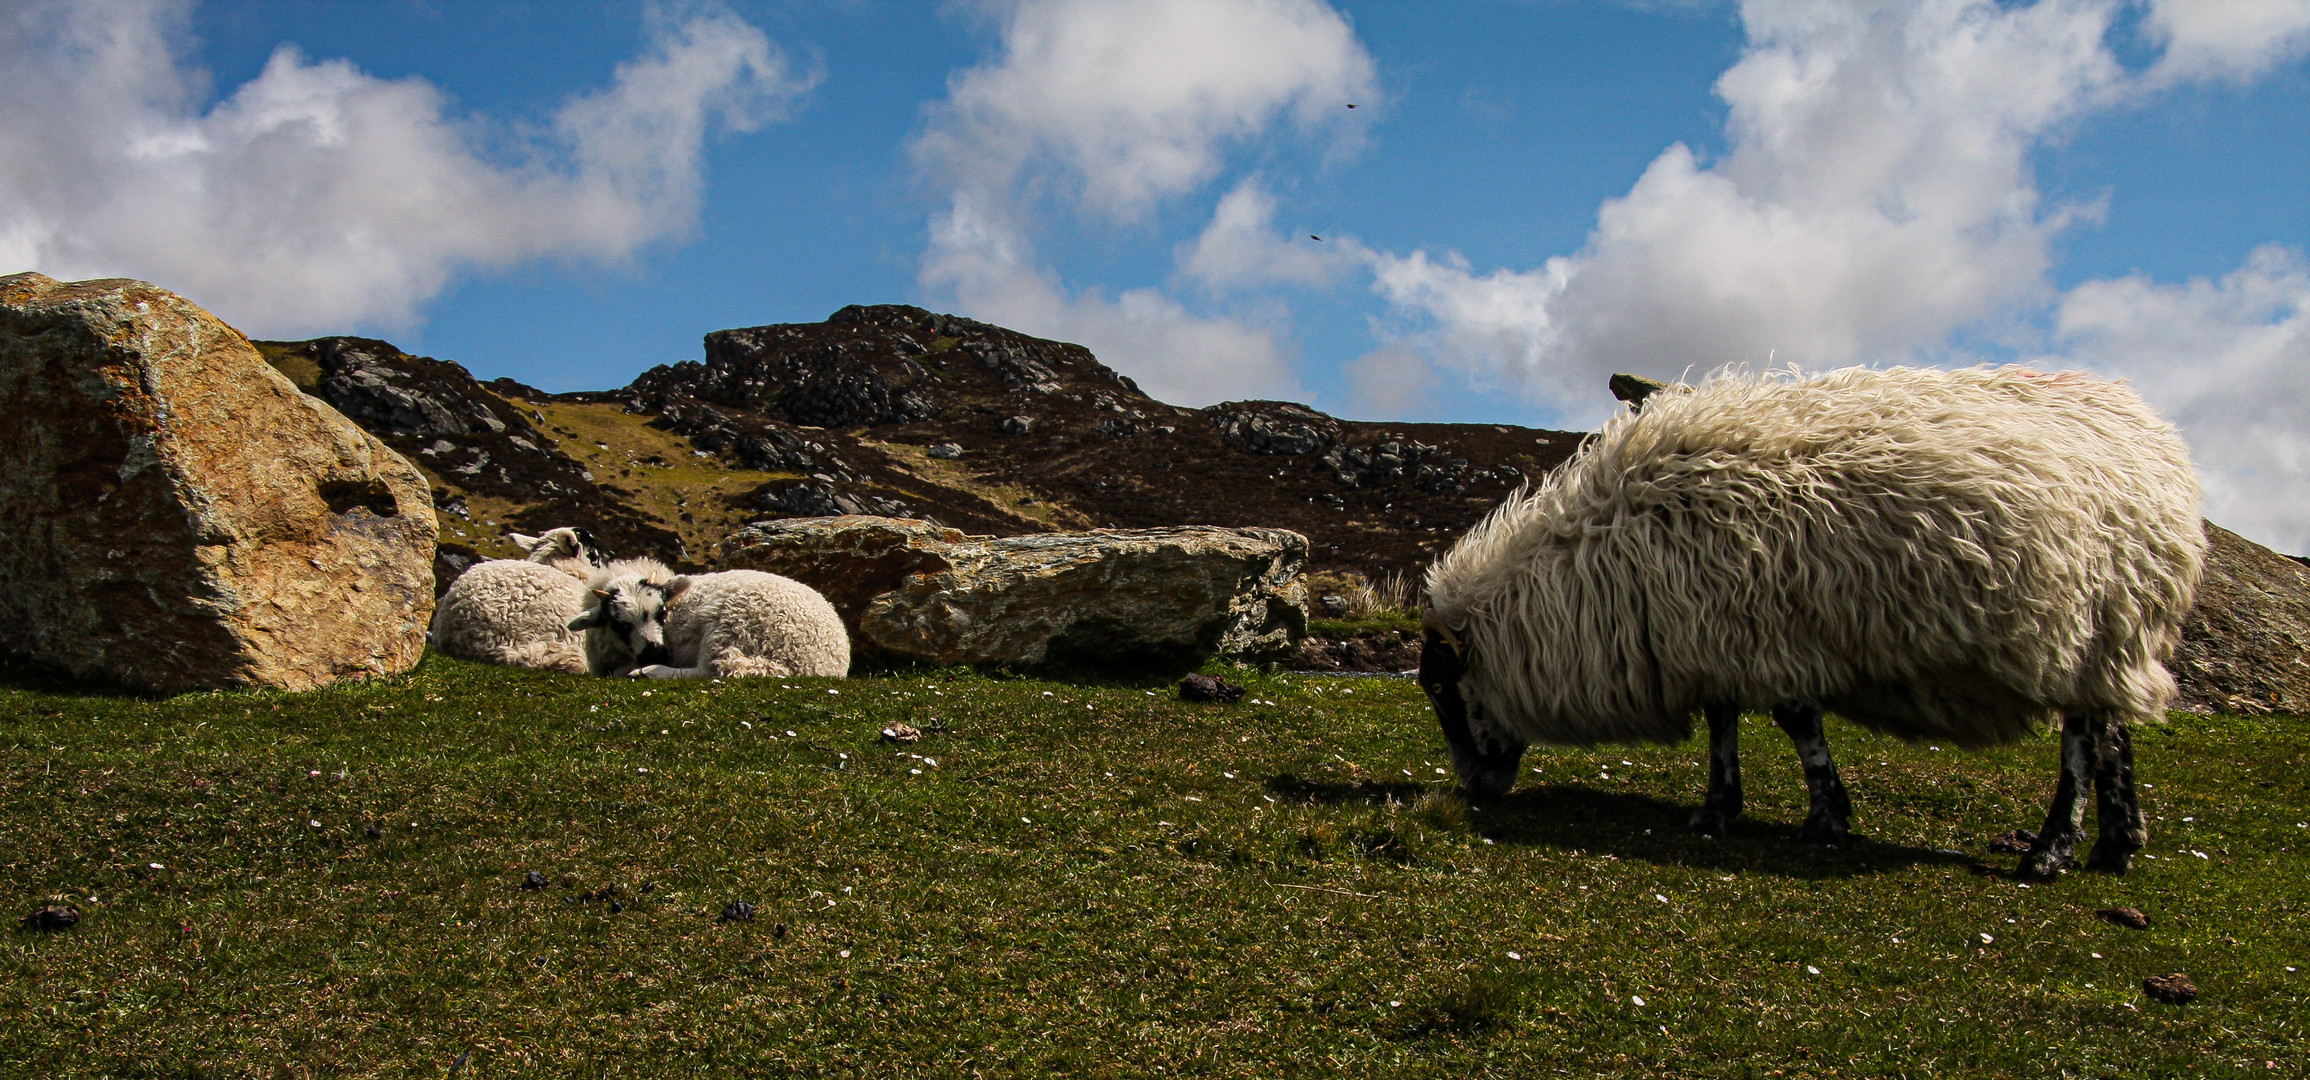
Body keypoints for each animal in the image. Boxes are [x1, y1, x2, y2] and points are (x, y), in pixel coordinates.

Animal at [568, 560, 850, 678]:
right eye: (619, 624)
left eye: (661, 612)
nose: (656, 653)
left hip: (730, 623)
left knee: (709, 670)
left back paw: (646, 672)